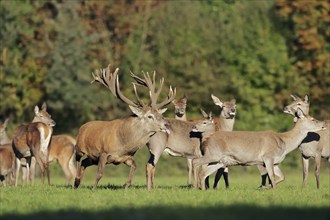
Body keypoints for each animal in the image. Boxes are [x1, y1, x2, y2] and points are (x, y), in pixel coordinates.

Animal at [192, 109, 326, 190]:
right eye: (313, 119)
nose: (324, 123)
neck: (284, 143)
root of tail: (207, 139)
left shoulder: (274, 161)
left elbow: (282, 176)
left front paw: (265, 187)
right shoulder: (268, 157)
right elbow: (272, 176)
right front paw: (272, 189)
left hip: (220, 160)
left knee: (204, 173)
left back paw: (203, 189)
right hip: (213, 154)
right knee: (195, 162)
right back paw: (196, 187)